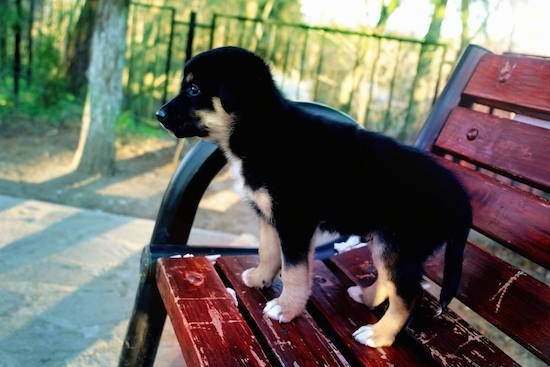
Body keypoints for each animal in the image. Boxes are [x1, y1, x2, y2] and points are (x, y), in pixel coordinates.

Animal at [156, 46, 474, 348]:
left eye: (193, 90)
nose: (159, 116)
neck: (262, 131)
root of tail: (458, 195)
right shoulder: (268, 215)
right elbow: (268, 251)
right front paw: (260, 278)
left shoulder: (295, 221)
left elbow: (294, 272)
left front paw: (286, 309)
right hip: (385, 242)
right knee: (389, 279)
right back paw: (366, 296)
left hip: (398, 243)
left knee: (408, 295)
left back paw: (378, 334)